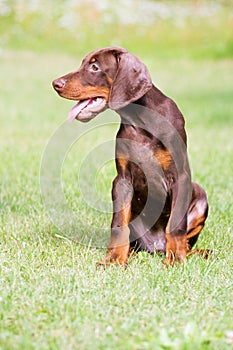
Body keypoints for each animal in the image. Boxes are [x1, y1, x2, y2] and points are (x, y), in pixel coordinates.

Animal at [52, 46, 208, 266]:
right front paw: (114, 259)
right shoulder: (122, 180)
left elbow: (176, 224)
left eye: (94, 67)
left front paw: (176, 259)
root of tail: (156, 247)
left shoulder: (180, 176)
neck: (140, 120)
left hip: (200, 194)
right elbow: (118, 224)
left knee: (188, 242)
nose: (55, 84)